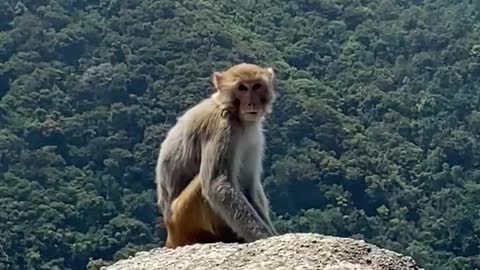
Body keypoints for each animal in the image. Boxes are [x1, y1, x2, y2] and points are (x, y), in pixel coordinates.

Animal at [156, 63, 280, 249]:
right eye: (242, 88)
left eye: (256, 86)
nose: (251, 102)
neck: (233, 112)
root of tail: (170, 232)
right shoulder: (221, 128)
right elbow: (218, 184)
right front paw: (265, 237)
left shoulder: (254, 136)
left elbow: (248, 185)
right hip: (182, 218)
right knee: (205, 183)